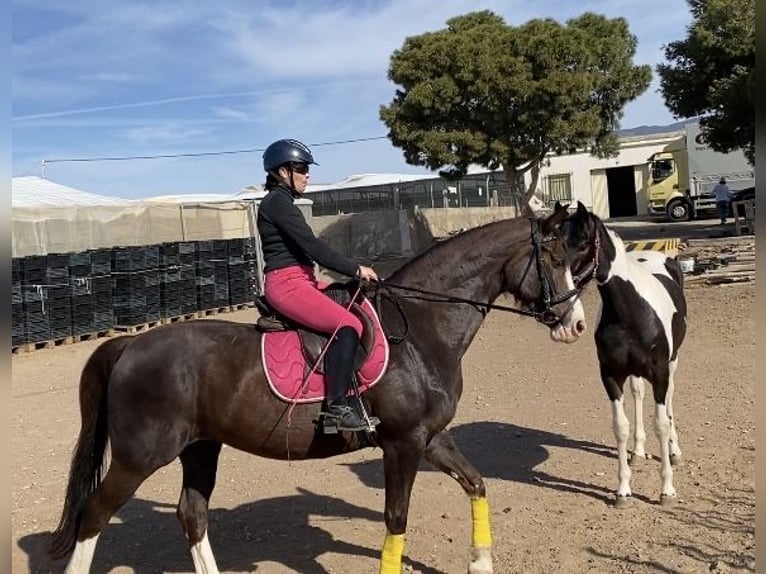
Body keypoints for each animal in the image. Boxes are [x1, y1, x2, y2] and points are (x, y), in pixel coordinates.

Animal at [49, 209, 588, 574]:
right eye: (556, 258)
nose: (578, 324)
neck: (421, 328)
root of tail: (131, 344)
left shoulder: (431, 438)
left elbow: (477, 484)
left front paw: (480, 563)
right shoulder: (403, 443)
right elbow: (396, 519)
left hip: (200, 448)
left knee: (191, 515)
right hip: (140, 456)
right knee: (93, 514)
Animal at [558, 201, 687, 507]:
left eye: (582, 244)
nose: (561, 295)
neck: (631, 311)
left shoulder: (659, 372)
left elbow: (661, 424)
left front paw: (666, 490)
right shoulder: (611, 375)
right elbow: (620, 427)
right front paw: (623, 489)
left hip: (672, 363)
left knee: (670, 400)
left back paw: (674, 451)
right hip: (635, 373)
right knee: (638, 395)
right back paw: (638, 452)